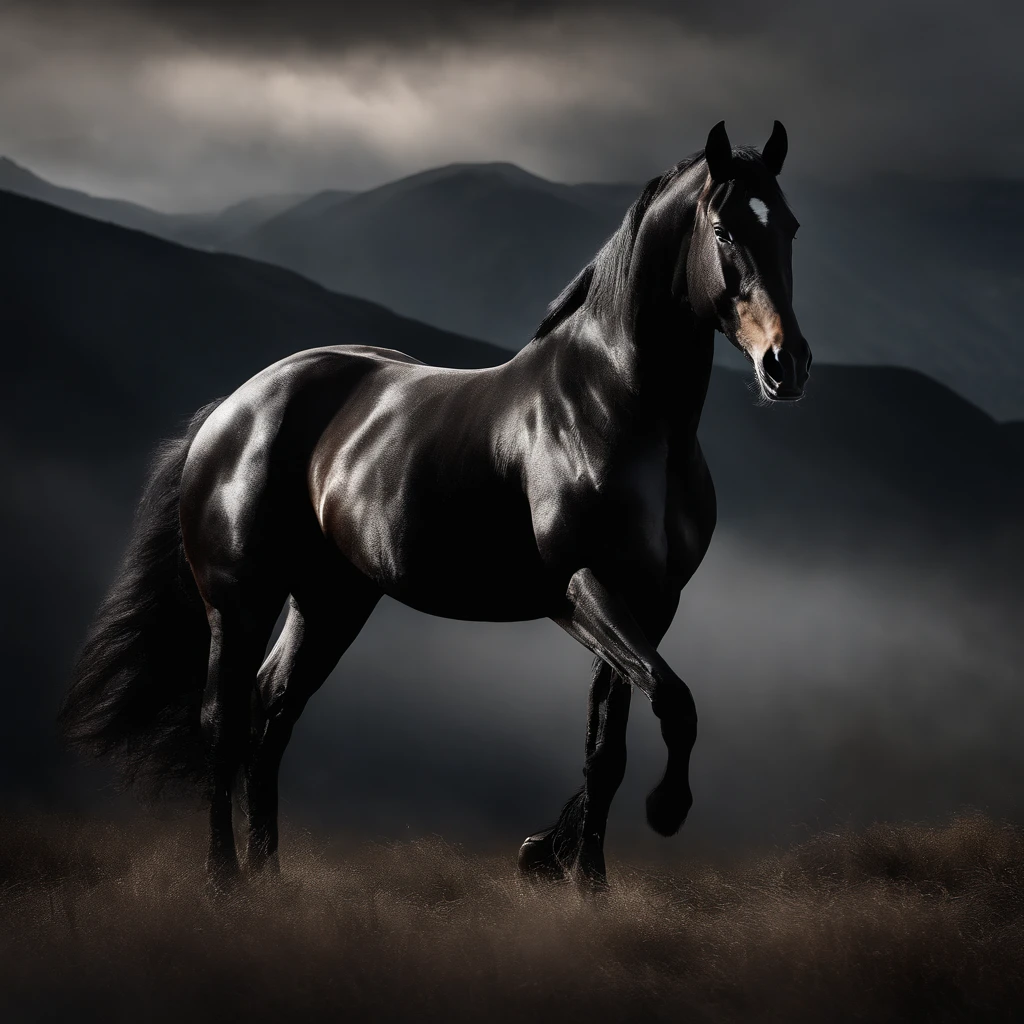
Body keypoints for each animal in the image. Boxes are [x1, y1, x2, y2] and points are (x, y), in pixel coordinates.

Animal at [59, 121, 811, 888]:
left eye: (789, 227)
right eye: (722, 229)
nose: (787, 365)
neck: (618, 408)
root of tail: (231, 410)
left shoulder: (651, 601)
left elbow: (609, 746)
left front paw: (576, 874)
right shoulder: (581, 588)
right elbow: (672, 703)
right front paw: (655, 813)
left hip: (329, 600)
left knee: (274, 708)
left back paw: (269, 876)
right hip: (240, 603)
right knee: (225, 721)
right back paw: (225, 879)